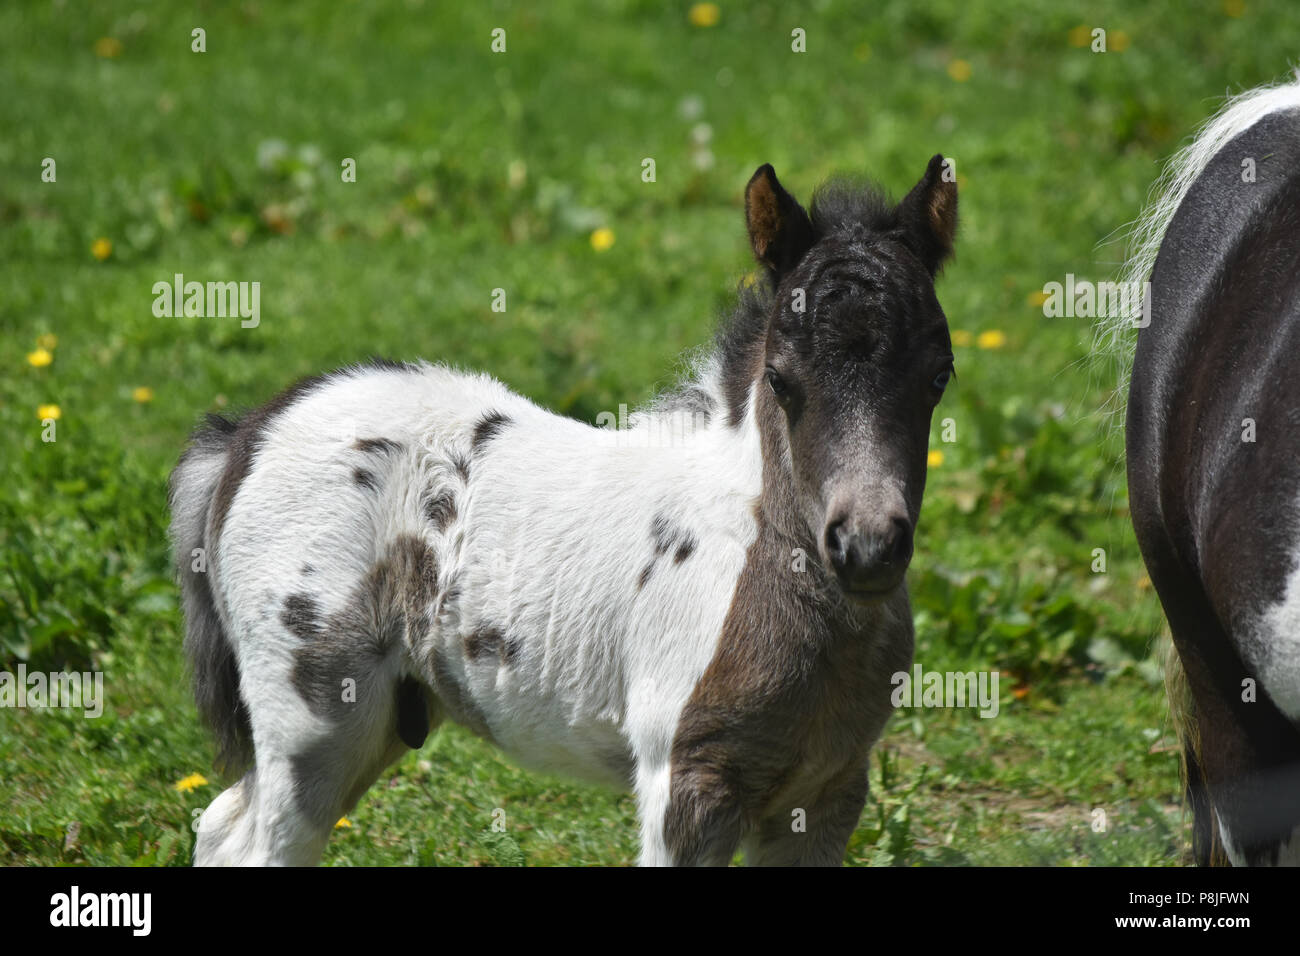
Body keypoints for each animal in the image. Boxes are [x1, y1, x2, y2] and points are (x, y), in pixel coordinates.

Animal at [169, 155, 958, 866]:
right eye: (781, 380)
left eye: (939, 377)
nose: (865, 548)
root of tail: (248, 431)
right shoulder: (687, 784)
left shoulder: (827, 793)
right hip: (312, 720)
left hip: (377, 724)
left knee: (220, 826)